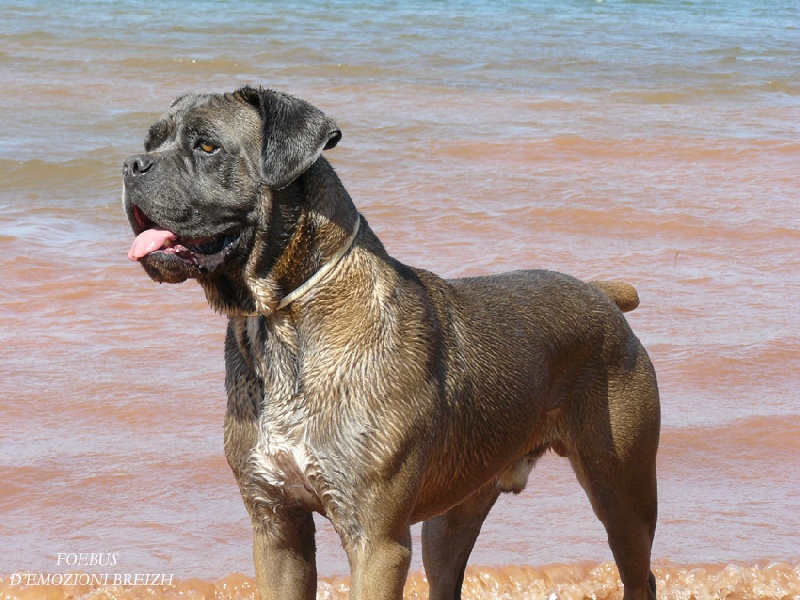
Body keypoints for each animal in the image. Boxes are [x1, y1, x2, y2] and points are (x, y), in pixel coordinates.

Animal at [123, 86, 664, 596]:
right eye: (151, 142)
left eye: (207, 145)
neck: (282, 323)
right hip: (452, 519)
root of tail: (600, 293)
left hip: (622, 494)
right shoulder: (276, 528)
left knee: (641, 576)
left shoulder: (375, 541)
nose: (130, 165)